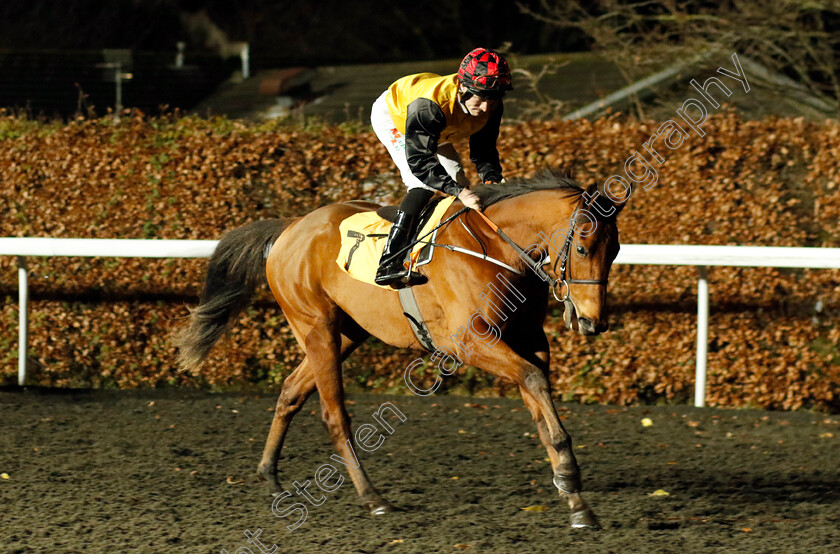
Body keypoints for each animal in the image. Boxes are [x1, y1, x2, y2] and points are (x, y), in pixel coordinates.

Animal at [177, 168, 624, 528]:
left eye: (615, 250)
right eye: (582, 248)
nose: (592, 321)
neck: (493, 249)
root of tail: (291, 227)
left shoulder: (529, 342)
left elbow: (540, 404)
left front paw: (572, 495)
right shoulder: (469, 342)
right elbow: (534, 383)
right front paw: (570, 478)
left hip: (346, 333)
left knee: (290, 391)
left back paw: (269, 474)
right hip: (317, 328)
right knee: (334, 415)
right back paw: (372, 497)